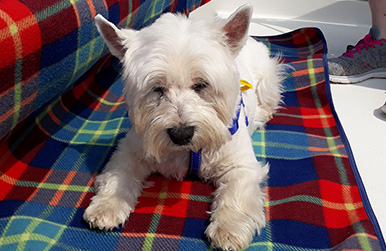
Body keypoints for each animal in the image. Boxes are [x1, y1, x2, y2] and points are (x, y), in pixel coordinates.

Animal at [83, 4, 284, 251]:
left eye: (201, 85)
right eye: (157, 88)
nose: (181, 134)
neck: (188, 152)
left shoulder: (240, 164)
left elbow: (236, 193)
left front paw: (228, 230)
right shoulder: (131, 148)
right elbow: (119, 174)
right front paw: (106, 206)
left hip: (268, 78)